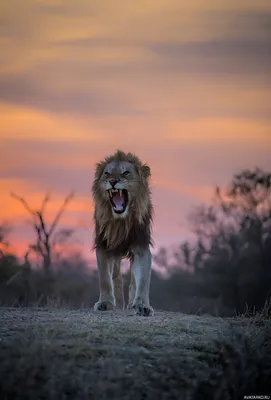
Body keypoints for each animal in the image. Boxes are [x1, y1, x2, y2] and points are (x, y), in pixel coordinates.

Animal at [92, 149, 154, 316]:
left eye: (126, 173)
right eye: (107, 173)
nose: (113, 181)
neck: (121, 221)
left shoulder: (141, 247)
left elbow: (143, 280)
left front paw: (142, 305)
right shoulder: (104, 247)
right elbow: (105, 280)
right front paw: (105, 303)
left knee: (133, 281)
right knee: (117, 279)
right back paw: (119, 304)